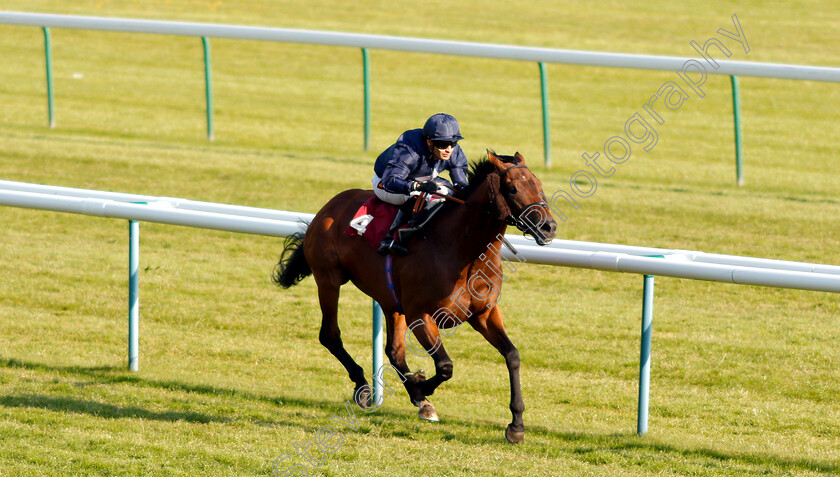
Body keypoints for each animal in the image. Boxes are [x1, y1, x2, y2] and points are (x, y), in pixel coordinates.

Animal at [272, 151, 556, 440]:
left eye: (540, 185)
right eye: (512, 188)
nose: (549, 228)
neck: (465, 252)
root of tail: (327, 209)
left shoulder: (484, 313)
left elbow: (512, 355)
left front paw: (516, 425)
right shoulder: (420, 315)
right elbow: (445, 366)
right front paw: (422, 386)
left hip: (390, 300)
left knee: (394, 351)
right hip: (329, 279)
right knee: (330, 335)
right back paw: (365, 387)